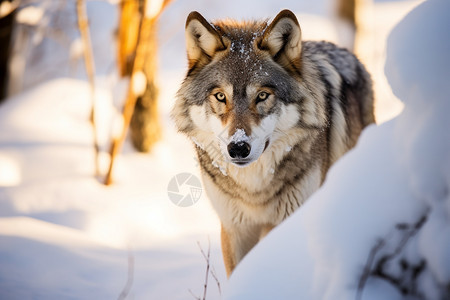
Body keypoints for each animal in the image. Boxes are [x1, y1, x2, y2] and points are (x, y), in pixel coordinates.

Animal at [172, 9, 376, 276]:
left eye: (262, 96)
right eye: (220, 96)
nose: (238, 148)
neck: (253, 189)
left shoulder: (284, 221)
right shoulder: (234, 228)